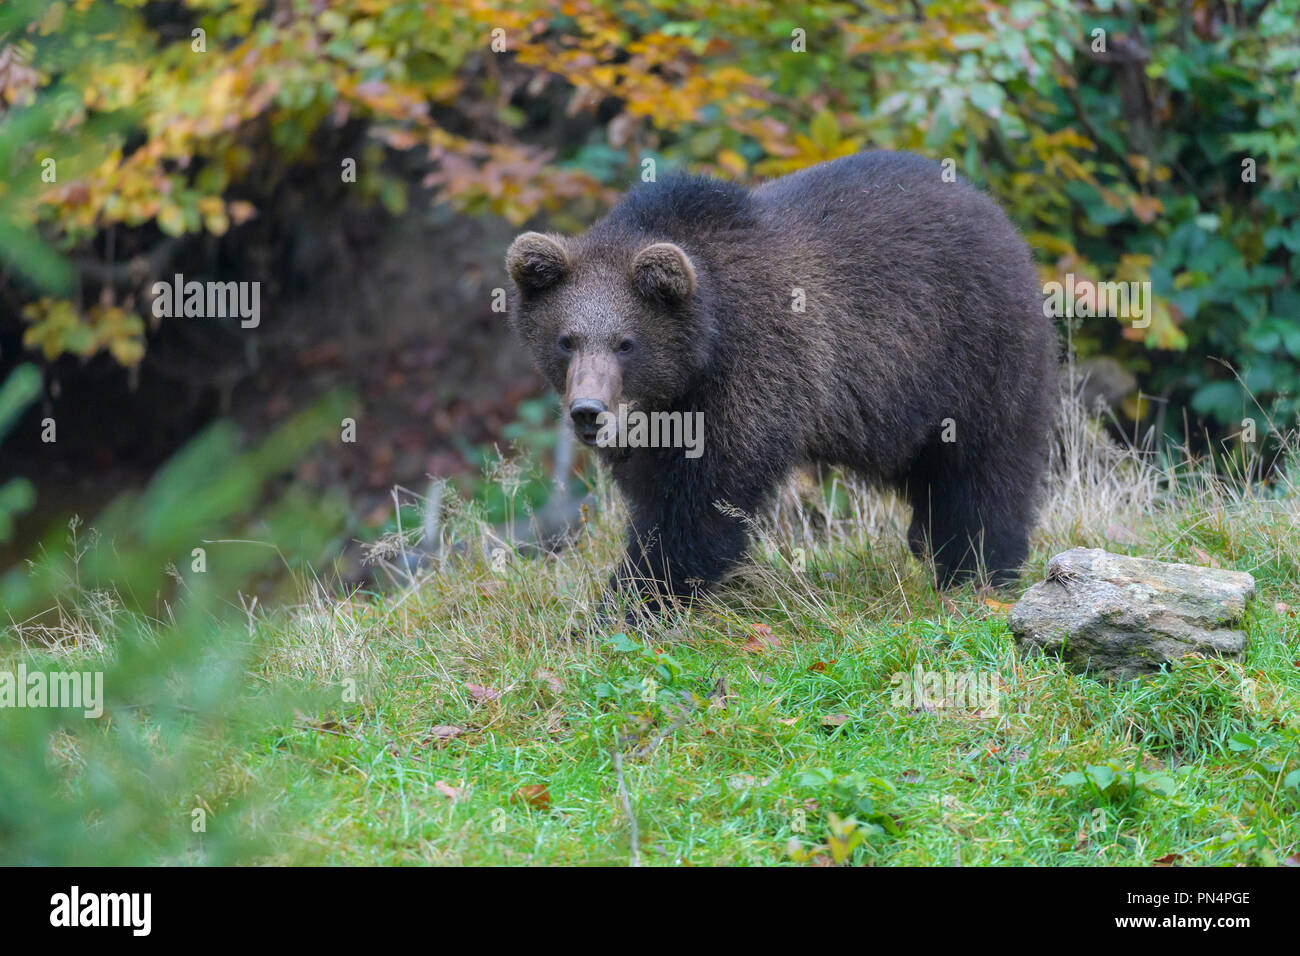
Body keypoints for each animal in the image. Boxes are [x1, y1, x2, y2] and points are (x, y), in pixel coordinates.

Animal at [506, 151, 1058, 618]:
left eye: (626, 342)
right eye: (566, 340)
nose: (588, 411)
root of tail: (994, 211)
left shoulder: (753, 374)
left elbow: (700, 509)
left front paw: (630, 604)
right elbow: (655, 494)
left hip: (973, 357)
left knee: (986, 470)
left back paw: (980, 572)